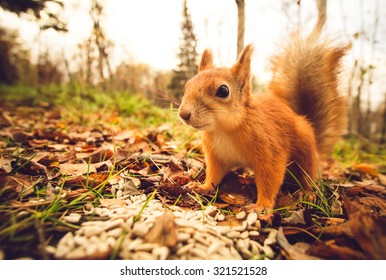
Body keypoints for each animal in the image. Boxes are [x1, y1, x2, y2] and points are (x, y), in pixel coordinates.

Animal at [178, 23, 350, 212]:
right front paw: (202, 186)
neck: (225, 130)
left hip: (306, 153)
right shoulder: (217, 156)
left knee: (307, 177)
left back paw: (306, 193)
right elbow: (214, 173)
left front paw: (262, 205)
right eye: (187, 86)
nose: (183, 114)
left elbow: (270, 177)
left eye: (223, 91)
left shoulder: (270, 149)